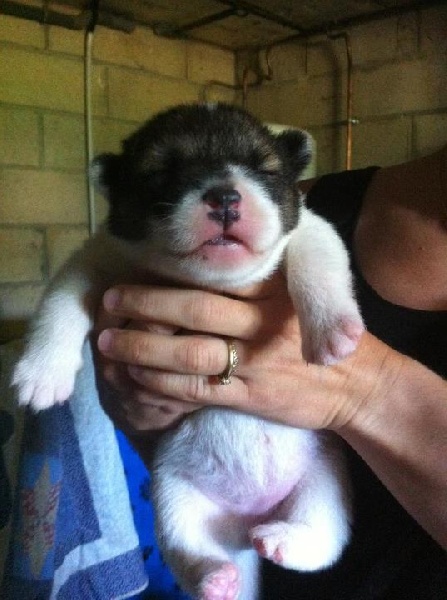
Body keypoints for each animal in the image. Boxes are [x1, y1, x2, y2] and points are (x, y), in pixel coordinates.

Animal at [13, 103, 364, 600]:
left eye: (263, 169)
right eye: (162, 172)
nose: (225, 197)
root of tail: (248, 521)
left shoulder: (310, 230)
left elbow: (317, 265)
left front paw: (334, 330)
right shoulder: (96, 259)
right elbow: (60, 305)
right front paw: (42, 373)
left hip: (325, 477)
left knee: (323, 538)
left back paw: (284, 539)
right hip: (173, 496)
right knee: (190, 550)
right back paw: (215, 577)